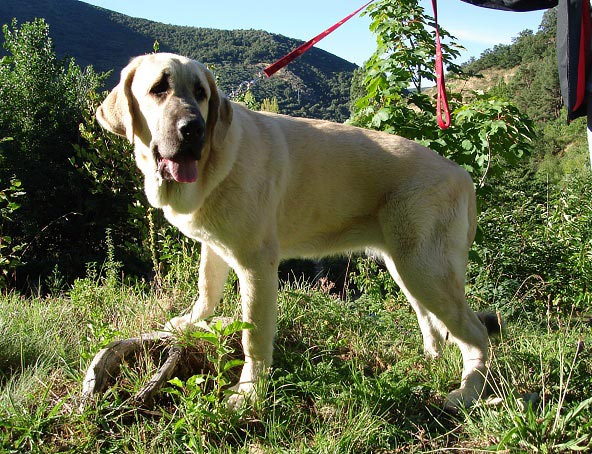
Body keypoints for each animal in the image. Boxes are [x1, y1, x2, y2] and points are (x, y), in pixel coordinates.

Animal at [96, 51, 490, 410]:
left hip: (425, 269)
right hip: (407, 265)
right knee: (432, 321)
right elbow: (207, 290)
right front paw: (188, 322)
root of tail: (463, 176)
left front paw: (249, 394)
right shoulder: (214, 248)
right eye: (158, 89)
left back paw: (469, 391)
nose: (195, 130)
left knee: (477, 333)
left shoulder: (256, 265)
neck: (214, 163)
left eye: (200, 93)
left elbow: (253, 337)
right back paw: (431, 360)